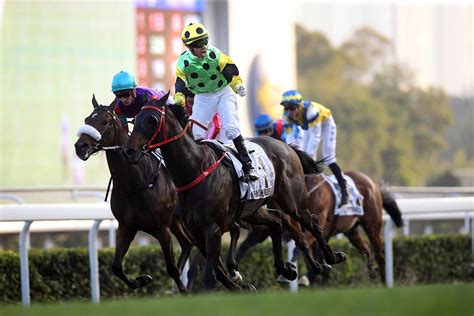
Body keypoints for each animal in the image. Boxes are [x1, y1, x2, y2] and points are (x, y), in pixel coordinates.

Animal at [74, 96, 193, 294]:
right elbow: (115, 267)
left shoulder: (161, 228)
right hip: (175, 220)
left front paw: (184, 290)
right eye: (87, 119)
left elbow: (171, 268)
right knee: (187, 243)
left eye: (104, 122)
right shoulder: (126, 226)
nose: (80, 146)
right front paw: (142, 279)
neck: (135, 184)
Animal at [122, 94, 344, 292]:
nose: (128, 151)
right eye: (135, 119)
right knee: (277, 222)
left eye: (152, 119)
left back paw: (331, 258)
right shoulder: (196, 229)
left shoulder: (213, 227)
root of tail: (286, 146)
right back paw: (292, 268)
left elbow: (210, 271)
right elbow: (217, 270)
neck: (195, 169)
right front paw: (240, 285)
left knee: (311, 222)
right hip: (253, 209)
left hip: (292, 202)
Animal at [233, 170, 404, 284]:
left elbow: (302, 246)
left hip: (371, 225)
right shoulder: (262, 231)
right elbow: (243, 247)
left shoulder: (312, 224)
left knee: (379, 252)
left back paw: (384, 280)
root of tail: (373, 184)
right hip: (352, 230)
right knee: (366, 250)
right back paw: (372, 275)